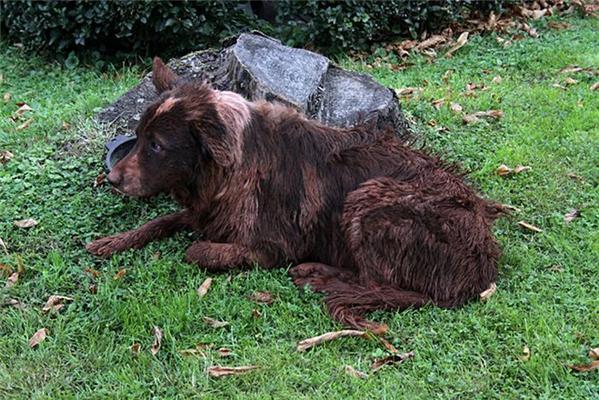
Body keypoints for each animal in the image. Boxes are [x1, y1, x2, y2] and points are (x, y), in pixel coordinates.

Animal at [86, 57, 504, 332]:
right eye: (138, 138)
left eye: (157, 145)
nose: (112, 179)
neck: (229, 166)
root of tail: (481, 266)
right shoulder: (204, 208)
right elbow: (163, 220)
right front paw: (111, 241)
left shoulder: (269, 248)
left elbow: (197, 249)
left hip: (369, 199)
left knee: (375, 282)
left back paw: (318, 277)